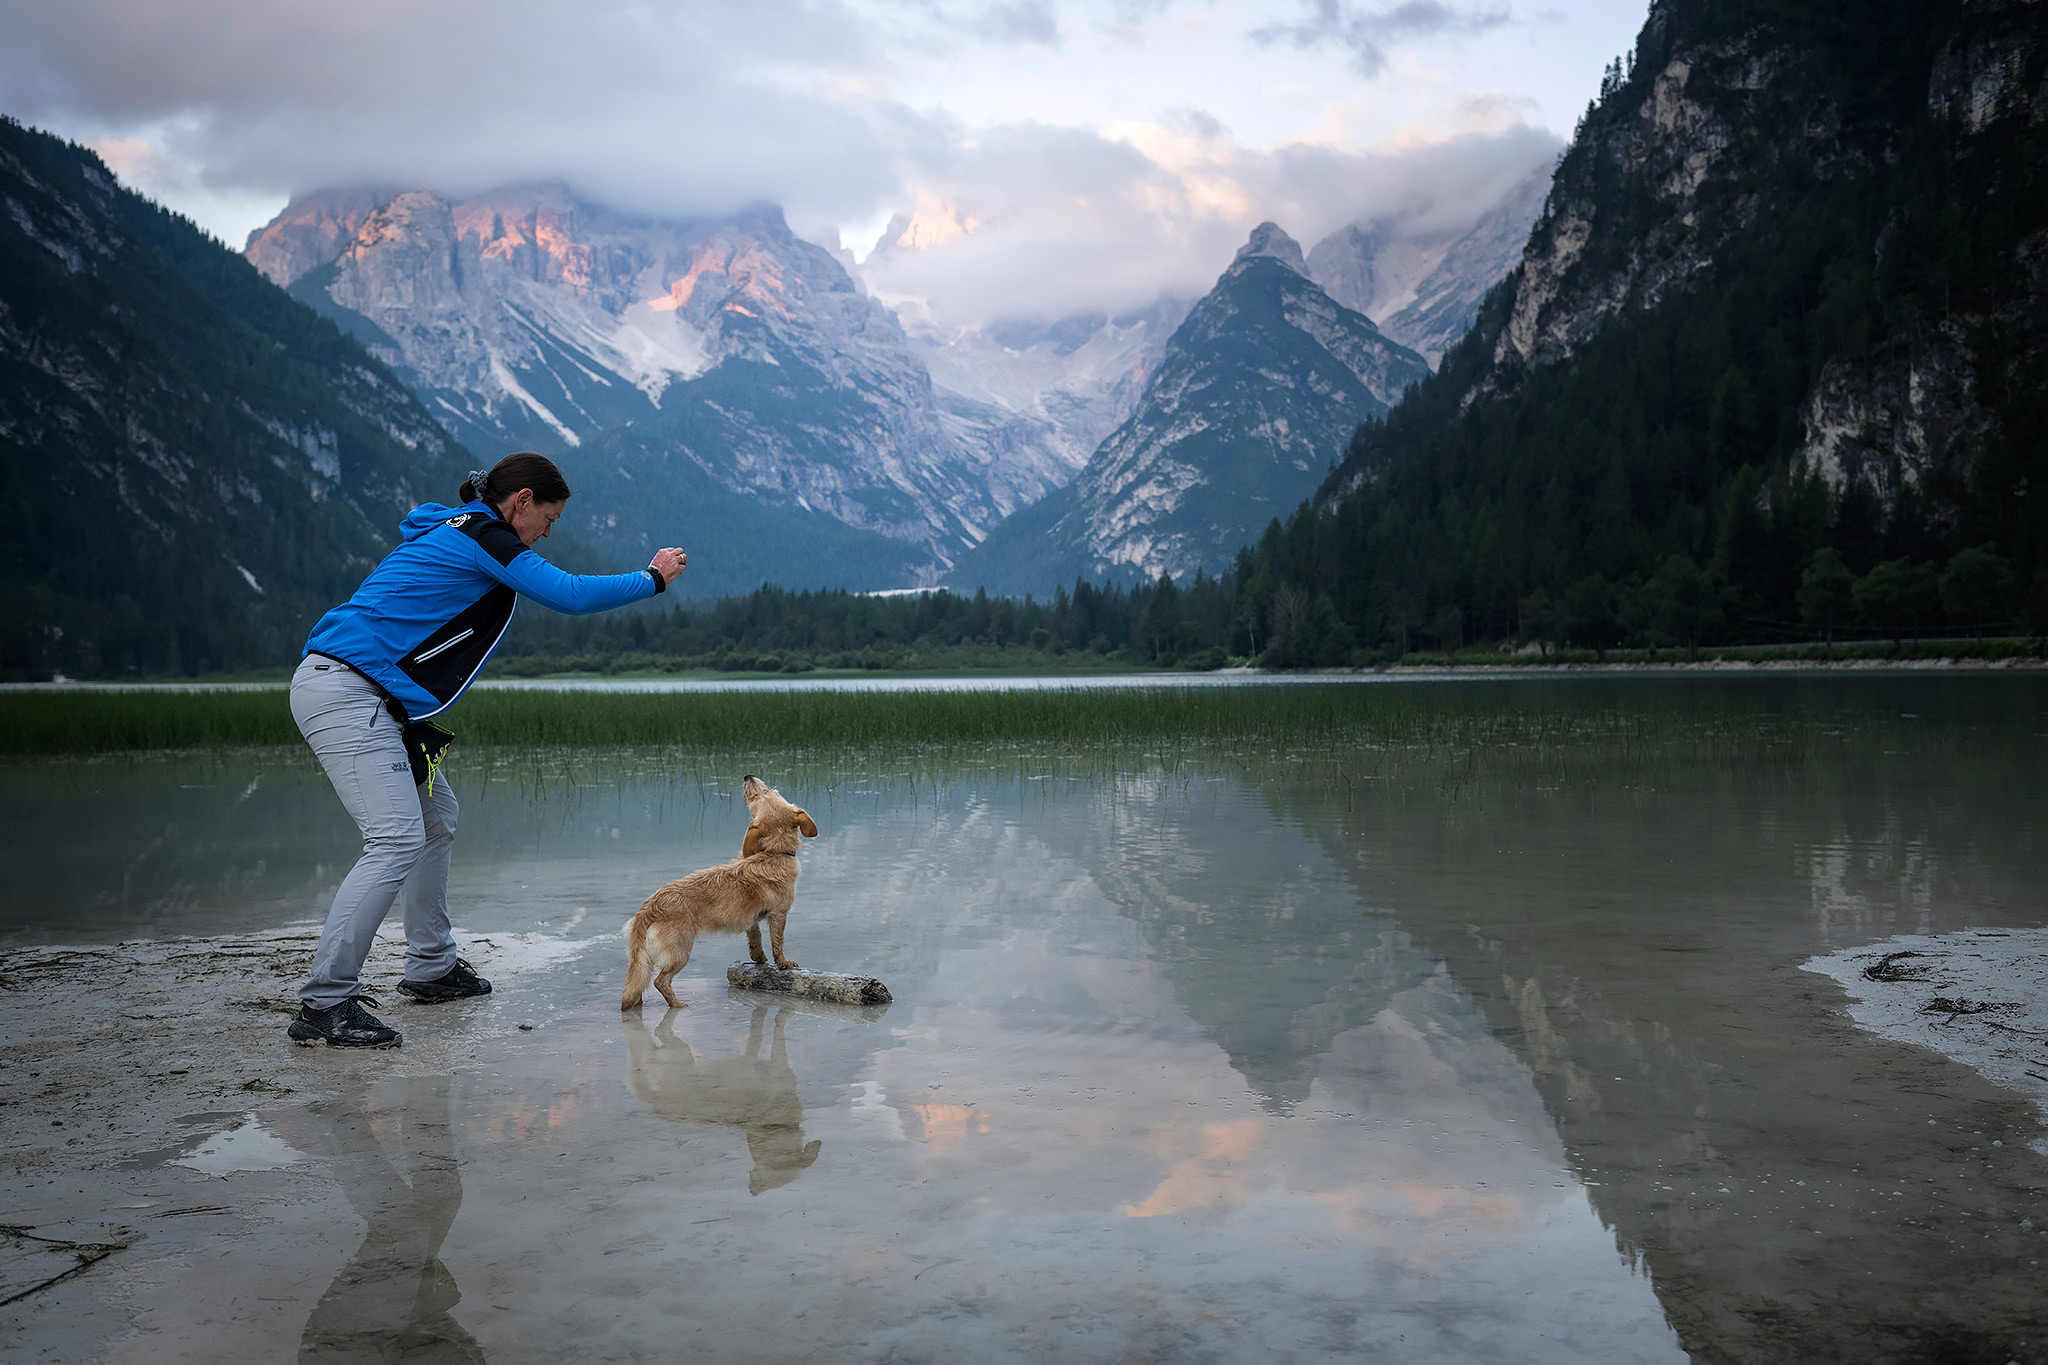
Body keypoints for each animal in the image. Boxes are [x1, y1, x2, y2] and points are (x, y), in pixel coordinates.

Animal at [622, 773, 815, 1010]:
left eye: (768, 791)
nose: (748, 776)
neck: (772, 853)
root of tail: (647, 910)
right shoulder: (779, 914)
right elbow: (777, 942)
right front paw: (784, 963)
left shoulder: (752, 918)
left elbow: (756, 936)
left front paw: (758, 956)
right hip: (680, 953)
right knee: (661, 981)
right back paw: (678, 1004)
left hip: (643, 961)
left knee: (638, 985)